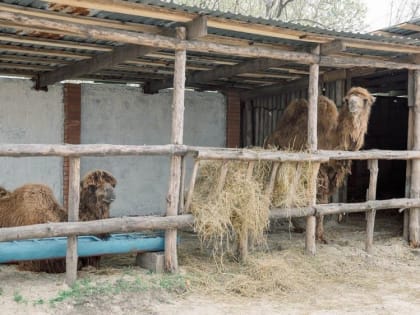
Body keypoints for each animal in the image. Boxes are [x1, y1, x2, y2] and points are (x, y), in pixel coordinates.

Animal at [264, 86, 376, 242]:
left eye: (365, 100)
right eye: (347, 100)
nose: (353, 105)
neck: (333, 139)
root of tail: (270, 136)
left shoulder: (333, 173)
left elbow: (325, 202)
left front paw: (320, 234)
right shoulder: (320, 170)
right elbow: (321, 201)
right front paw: (319, 235)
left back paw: (297, 227)